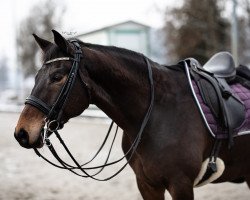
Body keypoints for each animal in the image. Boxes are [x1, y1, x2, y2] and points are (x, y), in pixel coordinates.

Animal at [14, 30, 250, 199]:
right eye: (37, 76)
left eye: (57, 77)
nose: (22, 133)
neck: (157, 113)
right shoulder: (147, 185)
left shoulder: (180, 184)